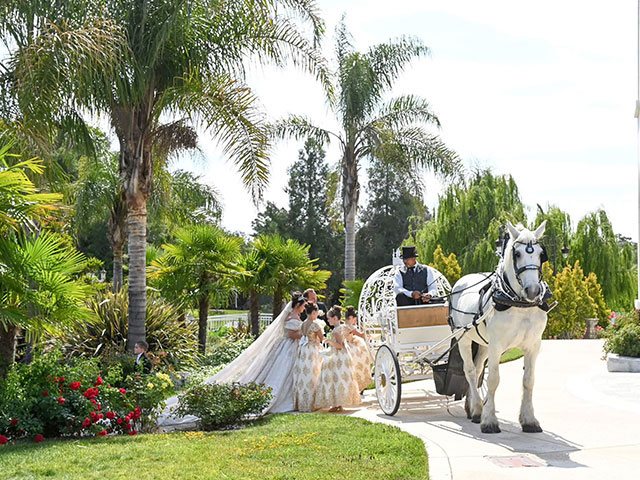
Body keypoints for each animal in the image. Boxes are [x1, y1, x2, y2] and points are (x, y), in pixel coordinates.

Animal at [450, 221, 552, 436]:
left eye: (541, 254)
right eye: (518, 254)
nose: (533, 290)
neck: (519, 304)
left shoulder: (533, 345)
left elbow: (528, 380)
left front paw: (529, 420)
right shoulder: (497, 346)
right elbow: (493, 380)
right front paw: (489, 421)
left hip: (483, 344)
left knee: (478, 368)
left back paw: (472, 407)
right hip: (464, 338)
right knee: (470, 371)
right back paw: (477, 409)